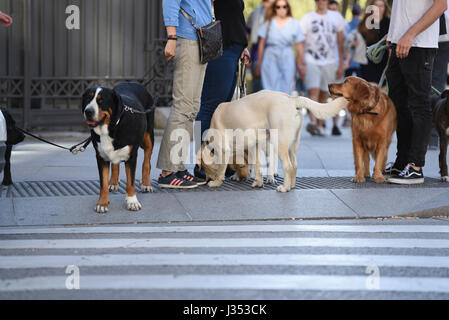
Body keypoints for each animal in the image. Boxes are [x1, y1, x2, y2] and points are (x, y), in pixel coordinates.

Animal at [81, 82, 155, 214]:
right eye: (88, 99)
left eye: (101, 101)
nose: (88, 111)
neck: (110, 128)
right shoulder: (100, 157)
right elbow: (103, 183)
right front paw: (102, 203)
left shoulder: (131, 156)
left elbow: (131, 181)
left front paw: (132, 201)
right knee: (115, 164)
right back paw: (113, 182)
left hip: (149, 136)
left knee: (147, 162)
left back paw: (146, 184)